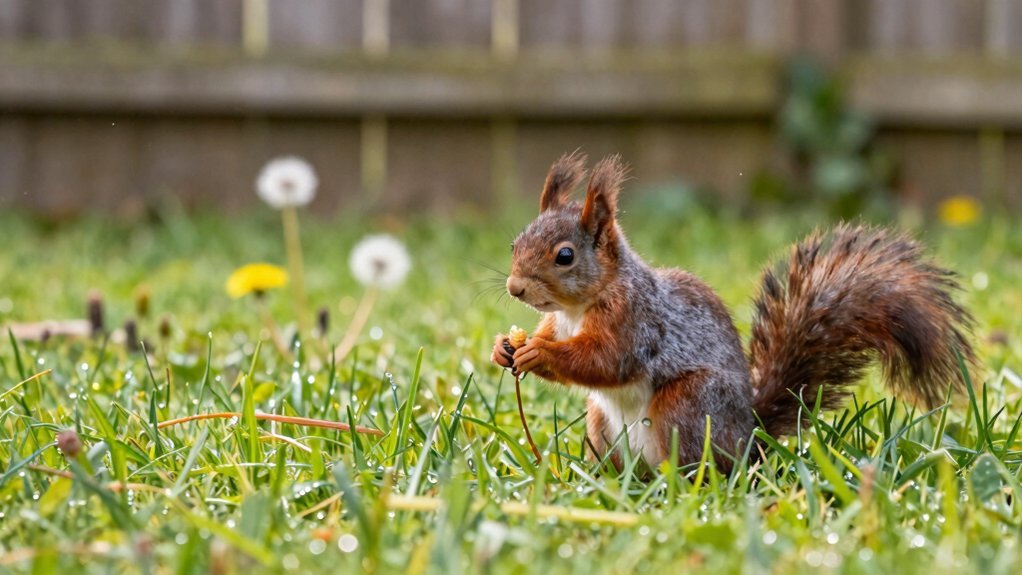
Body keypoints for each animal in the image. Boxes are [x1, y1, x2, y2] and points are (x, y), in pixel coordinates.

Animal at [491, 152, 976, 473]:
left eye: (565, 256)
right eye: (514, 243)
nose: (515, 287)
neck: (578, 307)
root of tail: (749, 437)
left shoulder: (636, 320)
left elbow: (608, 360)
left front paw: (539, 355)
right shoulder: (558, 321)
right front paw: (504, 348)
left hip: (688, 406)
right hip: (601, 423)